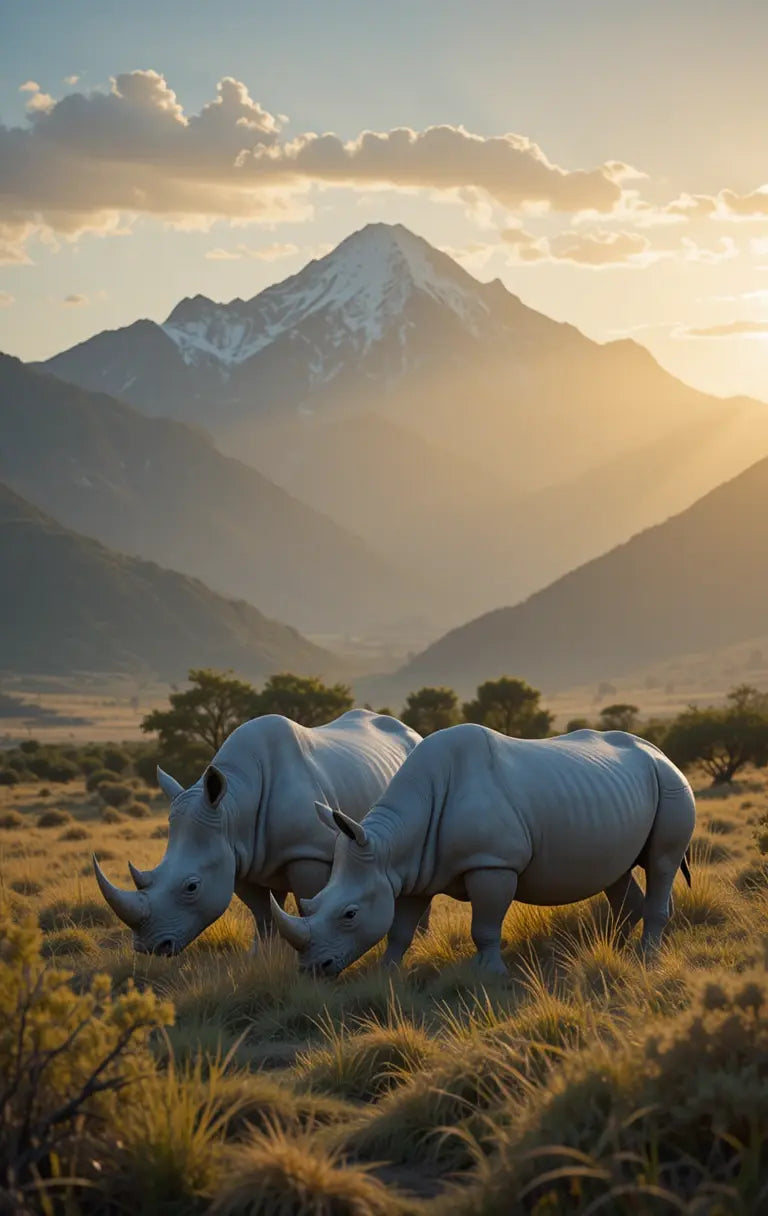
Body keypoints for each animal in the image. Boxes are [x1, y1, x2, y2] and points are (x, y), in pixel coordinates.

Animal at [92, 709, 420, 956]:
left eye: (192, 887)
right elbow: (262, 913)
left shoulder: (308, 851)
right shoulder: (239, 854)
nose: (148, 948)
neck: (232, 807)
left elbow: (308, 903)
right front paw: (261, 956)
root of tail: (412, 732)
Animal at [270, 725, 696, 976]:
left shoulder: (493, 864)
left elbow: (485, 926)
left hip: (672, 783)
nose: (312, 969)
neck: (391, 845)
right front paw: (388, 973)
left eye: (350, 914)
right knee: (617, 872)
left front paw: (491, 974)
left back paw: (644, 957)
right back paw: (611, 949)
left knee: (662, 861)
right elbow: (400, 928)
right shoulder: (410, 872)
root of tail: (659, 750)